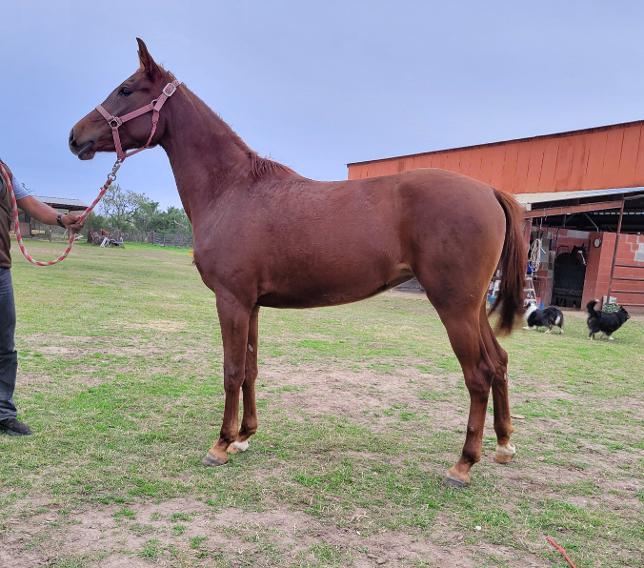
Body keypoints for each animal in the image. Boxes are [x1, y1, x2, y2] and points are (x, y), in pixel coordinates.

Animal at [69, 39, 526, 487]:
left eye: (126, 89)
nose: (75, 137)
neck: (232, 189)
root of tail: (488, 190)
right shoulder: (251, 305)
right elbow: (250, 369)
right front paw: (244, 437)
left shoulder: (231, 301)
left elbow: (231, 370)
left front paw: (220, 444)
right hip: (472, 306)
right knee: (499, 362)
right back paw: (504, 446)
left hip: (453, 306)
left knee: (478, 374)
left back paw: (463, 464)